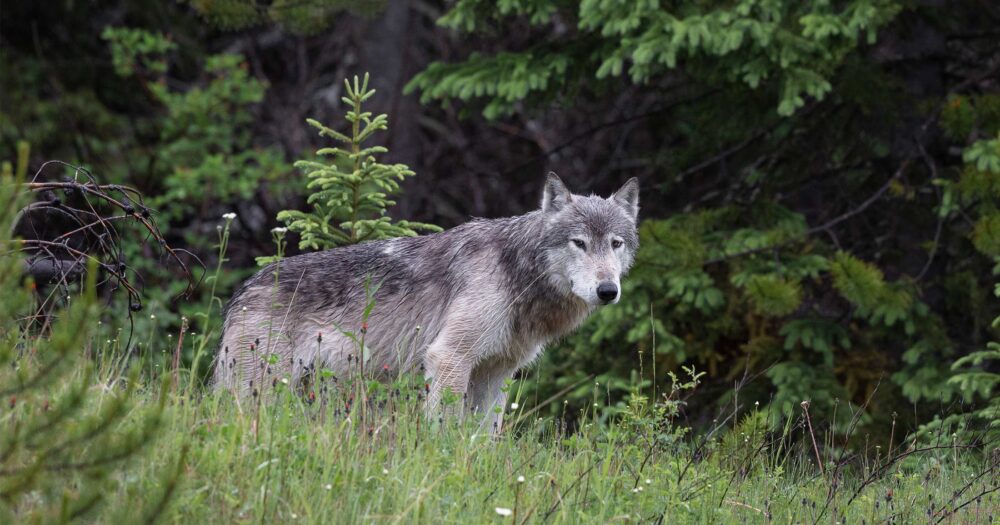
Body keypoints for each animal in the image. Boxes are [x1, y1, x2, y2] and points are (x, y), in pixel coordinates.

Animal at [214, 173, 639, 431]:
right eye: (579, 243)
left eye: (615, 243)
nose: (608, 290)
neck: (516, 271)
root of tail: (243, 290)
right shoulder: (449, 358)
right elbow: (446, 428)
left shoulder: (495, 373)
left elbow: (485, 438)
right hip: (260, 391)